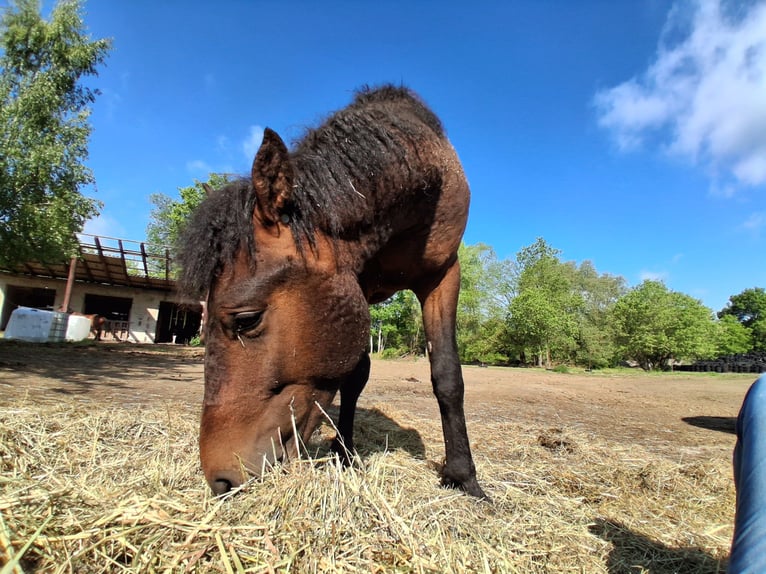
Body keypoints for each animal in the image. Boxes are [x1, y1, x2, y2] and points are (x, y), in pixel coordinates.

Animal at [177, 85, 486, 499]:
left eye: (246, 320)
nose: (220, 479)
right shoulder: (358, 281)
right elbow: (354, 375)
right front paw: (344, 454)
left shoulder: (443, 274)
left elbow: (448, 375)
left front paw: (462, 476)